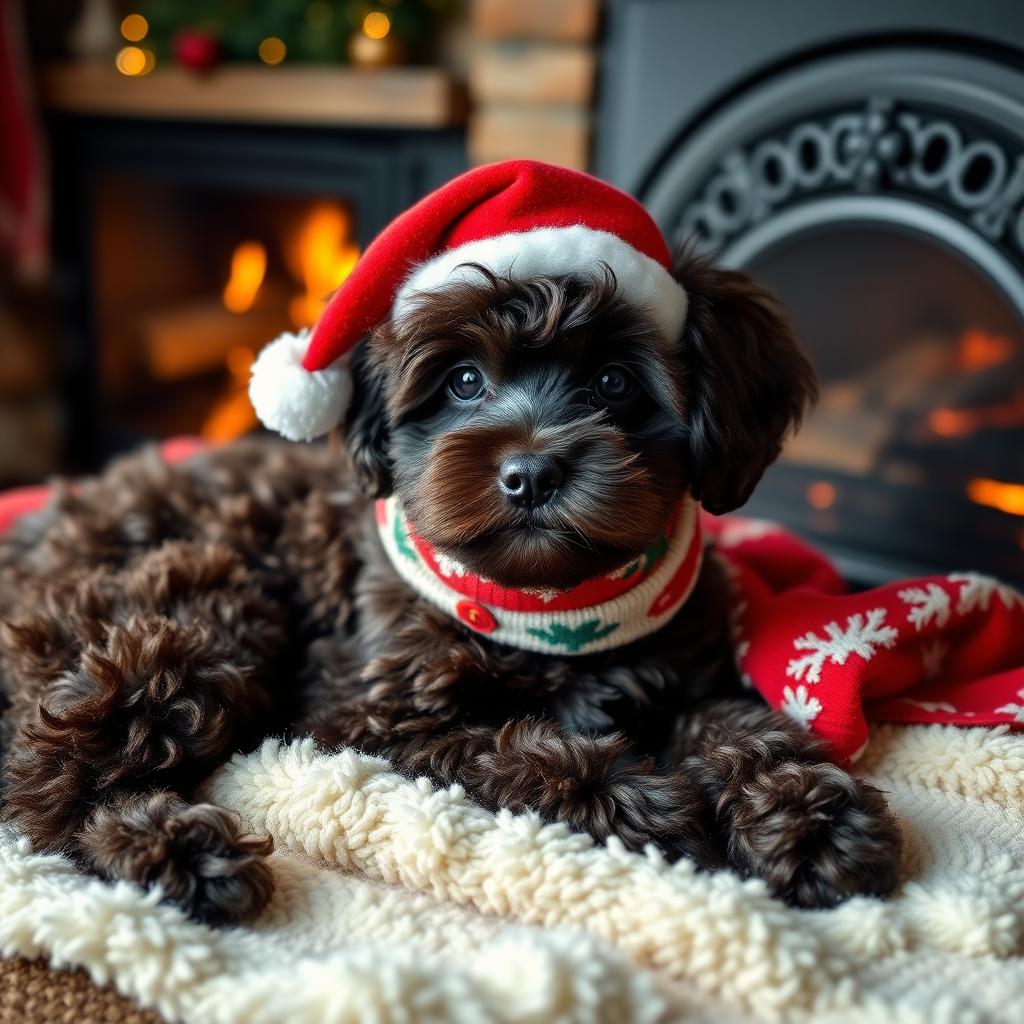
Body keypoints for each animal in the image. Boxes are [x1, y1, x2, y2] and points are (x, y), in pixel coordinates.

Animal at [0, 249, 905, 929]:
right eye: (463, 381)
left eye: (614, 383)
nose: (531, 472)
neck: (549, 607)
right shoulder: (369, 713)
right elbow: (506, 745)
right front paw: (637, 796)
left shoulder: (691, 677)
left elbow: (746, 727)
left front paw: (813, 817)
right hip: (205, 612)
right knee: (46, 778)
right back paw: (174, 851)